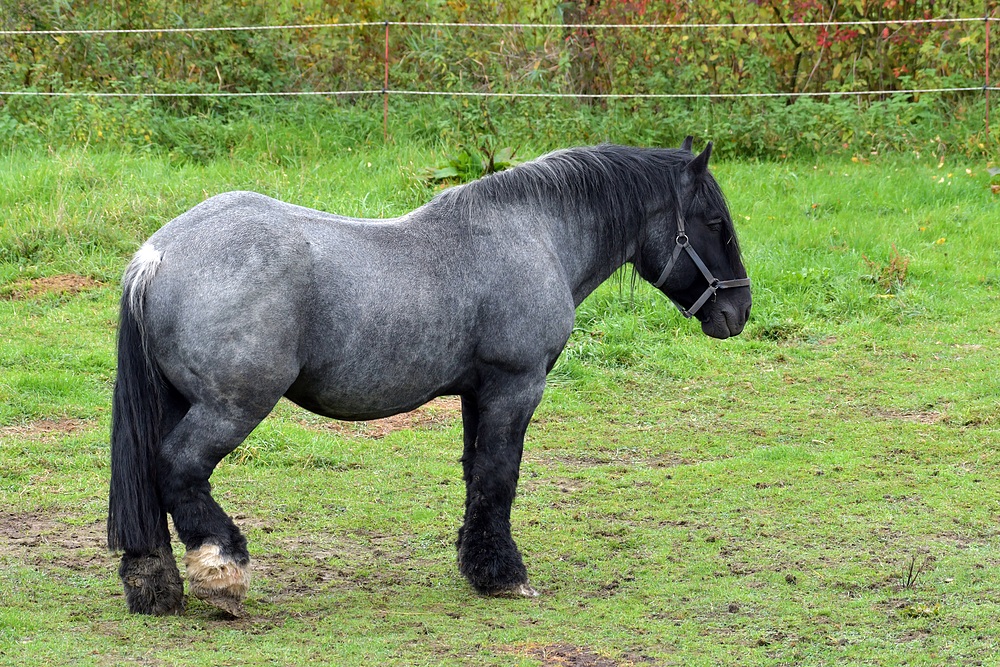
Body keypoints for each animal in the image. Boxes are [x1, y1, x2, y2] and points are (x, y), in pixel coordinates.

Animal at [107, 138, 752, 620]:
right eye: (713, 222)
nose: (738, 311)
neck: (533, 233)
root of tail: (158, 255)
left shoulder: (477, 393)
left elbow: (476, 475)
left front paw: (477, 566)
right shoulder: (516, 387)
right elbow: (499, 475)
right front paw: (504, 576)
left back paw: (154, 585)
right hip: (231, 407)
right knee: (178, 469)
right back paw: (223, 573)